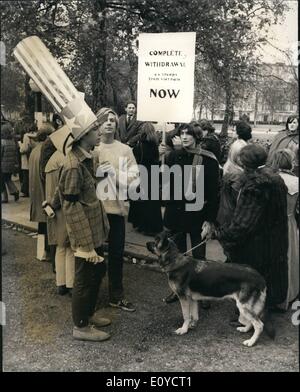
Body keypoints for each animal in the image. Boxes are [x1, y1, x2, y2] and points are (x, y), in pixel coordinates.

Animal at [146, 231, 274, 348]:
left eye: (155, 241)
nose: (146, 243)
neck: (174, 259)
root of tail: (260, 277)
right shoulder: (192, 299)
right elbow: (194, 315)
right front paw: (192, 325)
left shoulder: (183, 298)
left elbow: (186, 316)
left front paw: (183, 329)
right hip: (244, 307)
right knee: (252, 322)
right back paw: (245, 329)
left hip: (243, 305)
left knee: (259, 324)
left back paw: (251, 342)